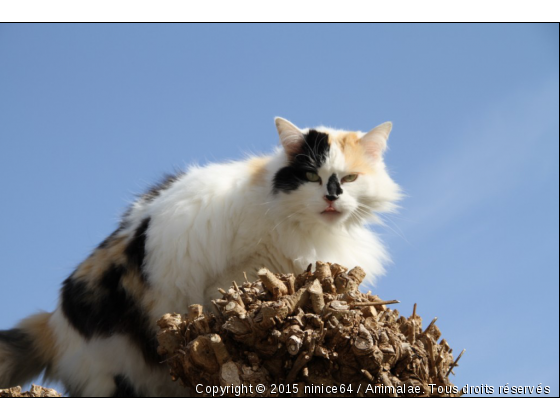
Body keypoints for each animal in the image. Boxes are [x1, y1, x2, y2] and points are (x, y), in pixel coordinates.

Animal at [1, 118, 402, 398]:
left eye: (349, 179)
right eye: (309, 176)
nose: (332, 197)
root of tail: (53, 323)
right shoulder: (237, 273)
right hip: (116, 372)